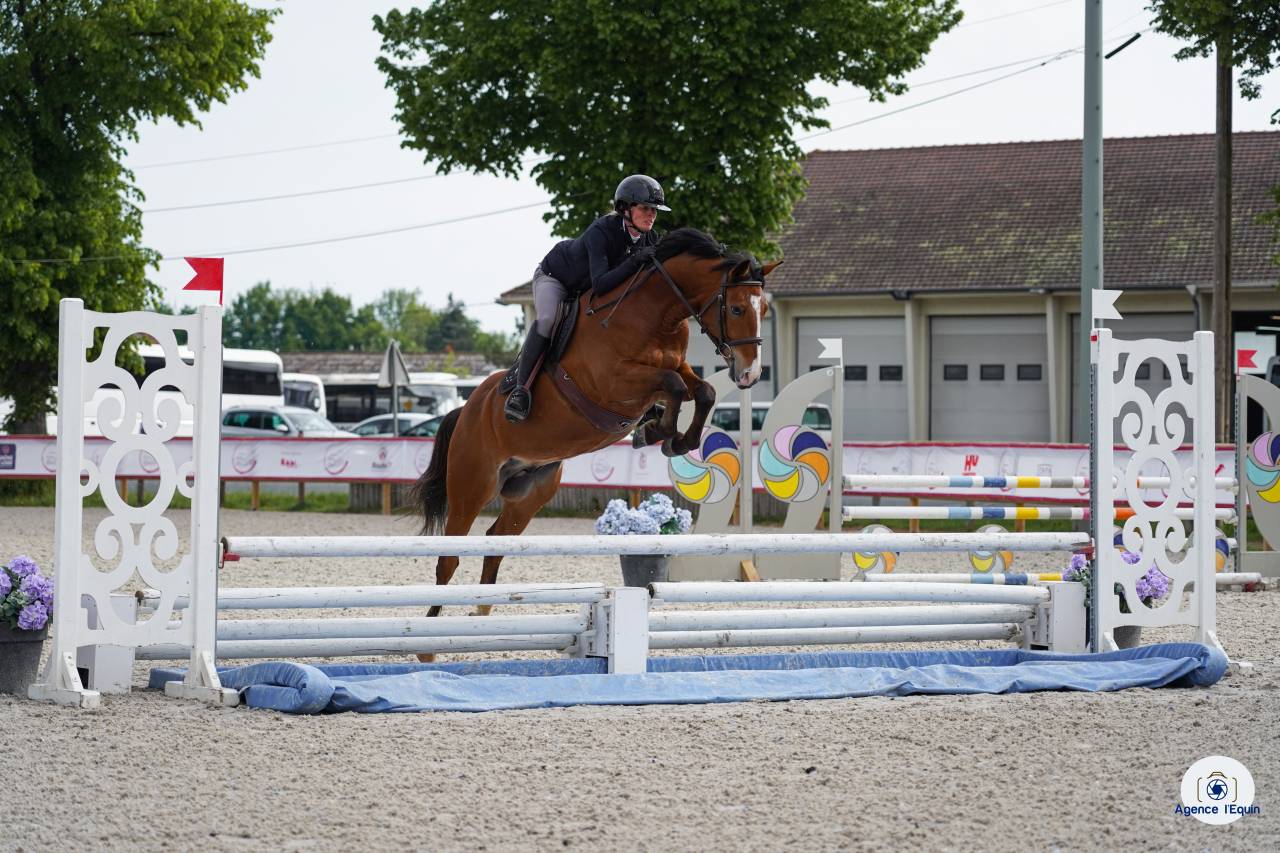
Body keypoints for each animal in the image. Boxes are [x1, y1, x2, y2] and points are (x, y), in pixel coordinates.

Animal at [410, 227, 778, 621]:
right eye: (737, 308)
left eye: (764, 310)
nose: (750, 374)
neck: (654, 314)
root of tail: (465, 410)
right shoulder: (614, 383)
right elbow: (675, 386)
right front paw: (660, 431)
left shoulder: (676, 367)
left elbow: (702, 390)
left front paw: (669, 437)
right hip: (472, 485)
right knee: (448, 559)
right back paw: (430, 632)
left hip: (530, 491)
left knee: (495, 543)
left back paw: (482, 614)